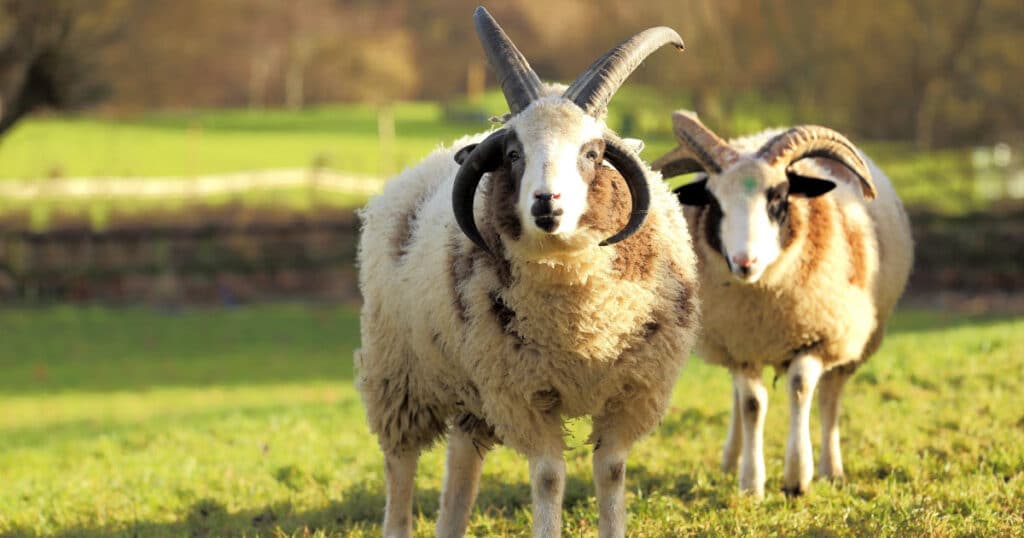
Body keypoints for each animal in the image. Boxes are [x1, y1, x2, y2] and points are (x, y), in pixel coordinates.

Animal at [354, 8, 699, 538]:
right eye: (514, 155)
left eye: (592, 153)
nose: (545, 203)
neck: (580, 320)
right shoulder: (524, 394)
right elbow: (550, 478)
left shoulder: (631, 392)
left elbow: (611, 471)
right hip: (399, 372)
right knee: (400, 464)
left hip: (470, 387)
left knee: (461, 465)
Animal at [652, 111, 913, 498]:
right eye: (714, 203)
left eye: (778, 197)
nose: (744, 262)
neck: (764, 302)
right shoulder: (741, 344)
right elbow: (751, 405)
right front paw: (750, 482)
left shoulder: (818, 336)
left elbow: (801, 389)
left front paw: (797, 478)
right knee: (740, 398)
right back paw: (731, 460)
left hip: (852, 338)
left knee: (829, 398)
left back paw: (831, 468)